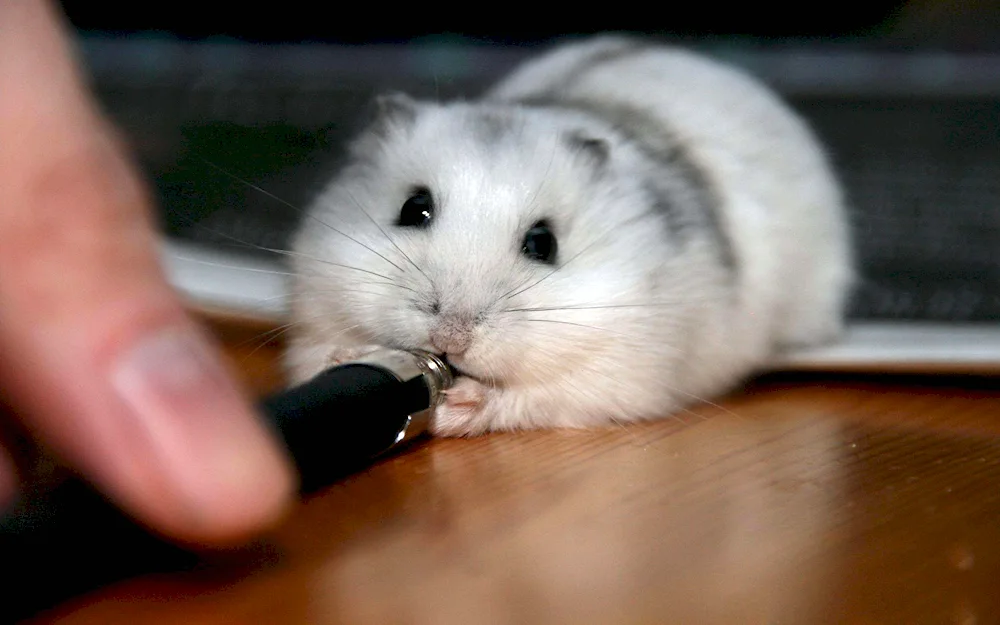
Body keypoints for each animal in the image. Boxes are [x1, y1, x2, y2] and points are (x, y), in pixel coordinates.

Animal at [282, 34, 852, 434]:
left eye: (543, 243)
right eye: (413, 208)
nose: (450, 339)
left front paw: (458, 407)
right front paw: (346, 357)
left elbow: (535, 395)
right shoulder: (311, 317)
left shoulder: (617, 371)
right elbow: (320, 353)